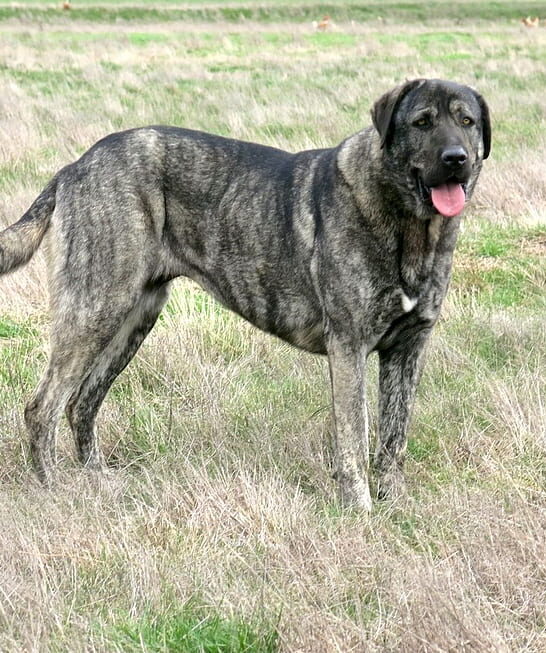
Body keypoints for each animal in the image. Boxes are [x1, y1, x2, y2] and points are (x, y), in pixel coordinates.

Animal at [0, 79, 488, 512]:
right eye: (422, 122)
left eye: (466, 121)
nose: (456, 159)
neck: (409, 224)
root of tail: (74, 167)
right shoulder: (349, 348)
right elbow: (354, 439)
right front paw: (359, 511)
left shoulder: (407, 351)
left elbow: (394, 439)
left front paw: (395, 504)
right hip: (96, 309)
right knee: (43, 407)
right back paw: (54, 489)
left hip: (133, 319)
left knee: (82, 402)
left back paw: (98, 482)